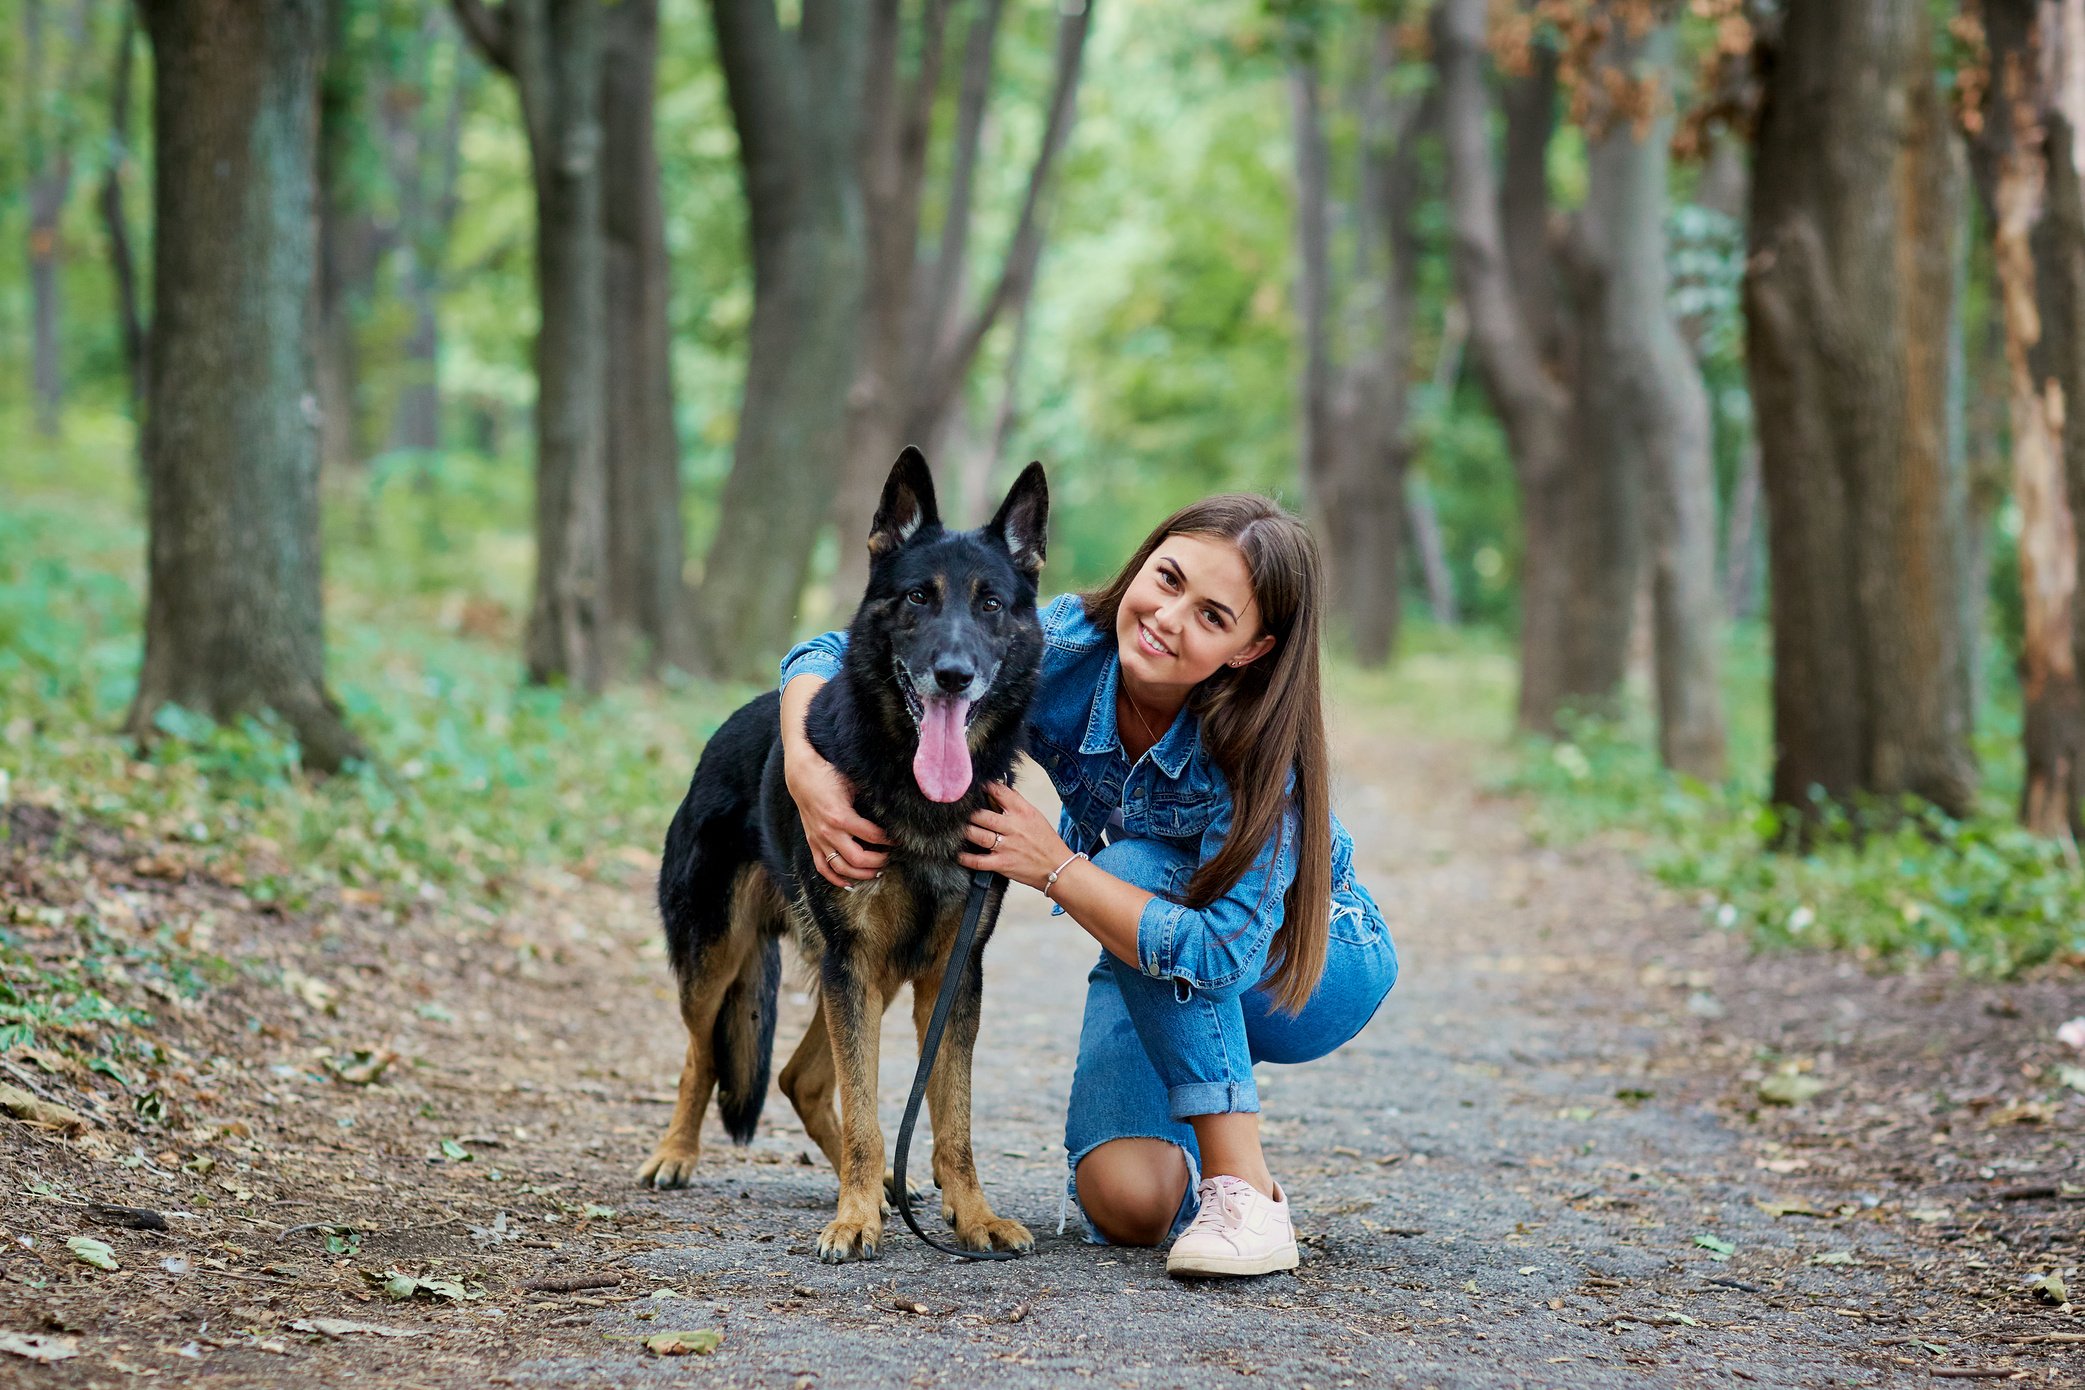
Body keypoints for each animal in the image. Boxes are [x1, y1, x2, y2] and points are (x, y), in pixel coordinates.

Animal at [638, 452, 1042, 1267]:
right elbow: (864, 1111)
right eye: (918, 597)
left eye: (990, 605)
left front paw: (971, 1215)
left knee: (799, 1078)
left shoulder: (947, 977)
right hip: (726, 959)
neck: (918, 795)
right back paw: (677, 1154)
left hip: (862, 978)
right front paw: (854, 1219)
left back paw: (887, 1187)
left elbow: (952, 1121)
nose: (953, 674)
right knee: (703, 1054)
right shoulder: (853, 965)